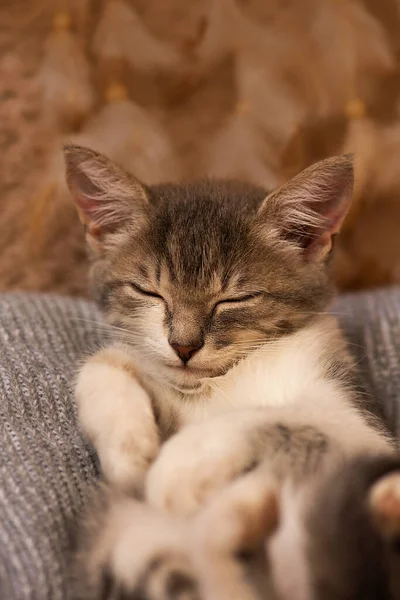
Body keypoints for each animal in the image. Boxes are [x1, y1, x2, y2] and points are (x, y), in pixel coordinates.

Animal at [64, 148, 396, 596]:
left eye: (234, 299)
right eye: (149, 291)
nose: (184, 346)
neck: (228, 378)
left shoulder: (363, 426)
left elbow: (286, 416)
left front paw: (179, 465)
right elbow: (104, 362)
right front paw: (128, 450)